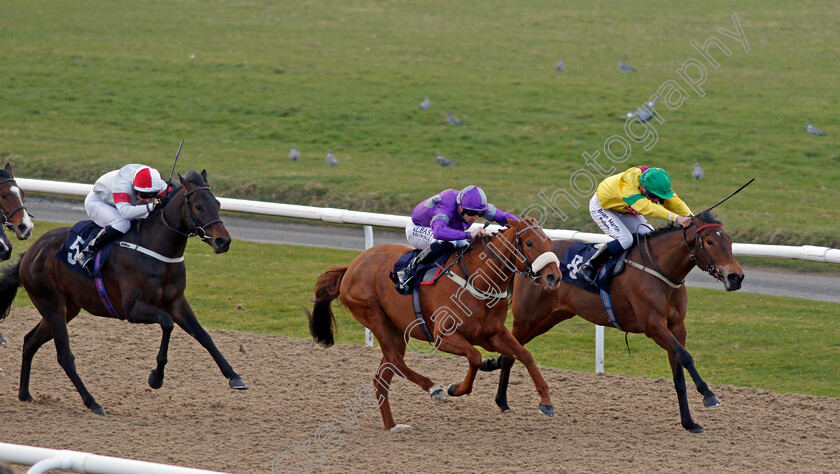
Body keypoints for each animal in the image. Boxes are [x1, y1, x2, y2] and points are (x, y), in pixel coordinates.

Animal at [0, 169, 246, 414]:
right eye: (198, 206)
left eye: (218, 203)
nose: (223, 241)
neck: (156, 249)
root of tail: (31, 252)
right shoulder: (132, 309)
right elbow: (167, 324)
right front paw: (156, 377)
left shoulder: (177, 302)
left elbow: (204, 336)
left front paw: (234, 377)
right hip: (51, 305)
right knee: (64, 356)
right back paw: (93, 403)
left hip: (67, 308)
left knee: (30, 341)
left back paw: (25, 393)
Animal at [306, 218, 560, 430]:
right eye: (529, 243)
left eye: (548, 241)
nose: (554, 277)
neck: (478, 280)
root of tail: (351, 266)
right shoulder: (443, 336)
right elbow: (475, 357)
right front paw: (455, 388)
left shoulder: (493, 335)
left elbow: (525, 355)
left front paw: (546, 402)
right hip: (375, 318)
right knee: (396, 361)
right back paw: (433, 388)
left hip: (397, 329)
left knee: (382, 376)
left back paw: (392, 426)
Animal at [482, 211, 744, 434]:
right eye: (709, 242)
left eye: (730, 242)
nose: (736, 277)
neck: (659, 269)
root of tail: (526, 263)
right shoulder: (653, 326)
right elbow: (686, 357)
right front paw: (709, 394)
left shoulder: (677, 327)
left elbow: (679, 372)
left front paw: (689, 422)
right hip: (528, 318)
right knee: (512, 352)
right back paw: (502, 400)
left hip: (550, 318)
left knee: (513, 351)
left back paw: (494, 375)